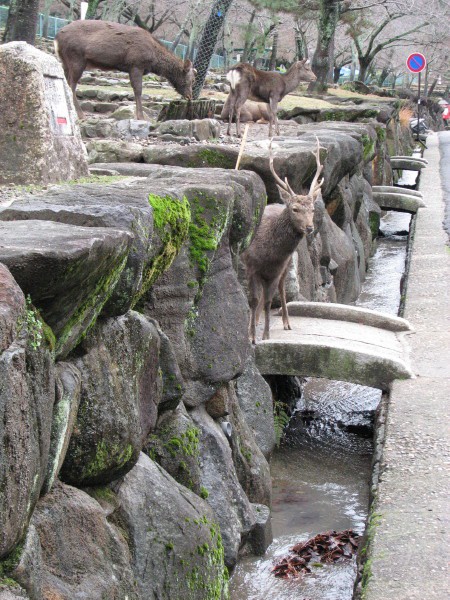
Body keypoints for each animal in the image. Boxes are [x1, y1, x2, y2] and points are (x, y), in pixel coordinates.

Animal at [54, 19, 195, 119]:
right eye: (191, 79)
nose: (190, 96)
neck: (154, 60)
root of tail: (56, 38)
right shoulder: (136, 65)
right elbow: (138, 90)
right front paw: (141, 117)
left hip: (65, 62)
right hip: (76, 58)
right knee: (72, 84)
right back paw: (80, 114)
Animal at [243, 137, 324, 342]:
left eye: (313, 209)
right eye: (295, 209)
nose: (310, 227)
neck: (269, 254)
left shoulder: (277, 269)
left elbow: (269, 300)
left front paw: (265, 335)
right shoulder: (251, 266)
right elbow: (254, 300)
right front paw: (251, 335)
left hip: (287, 265)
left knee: (280, 289)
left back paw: (287, 322)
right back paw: (255, 321)